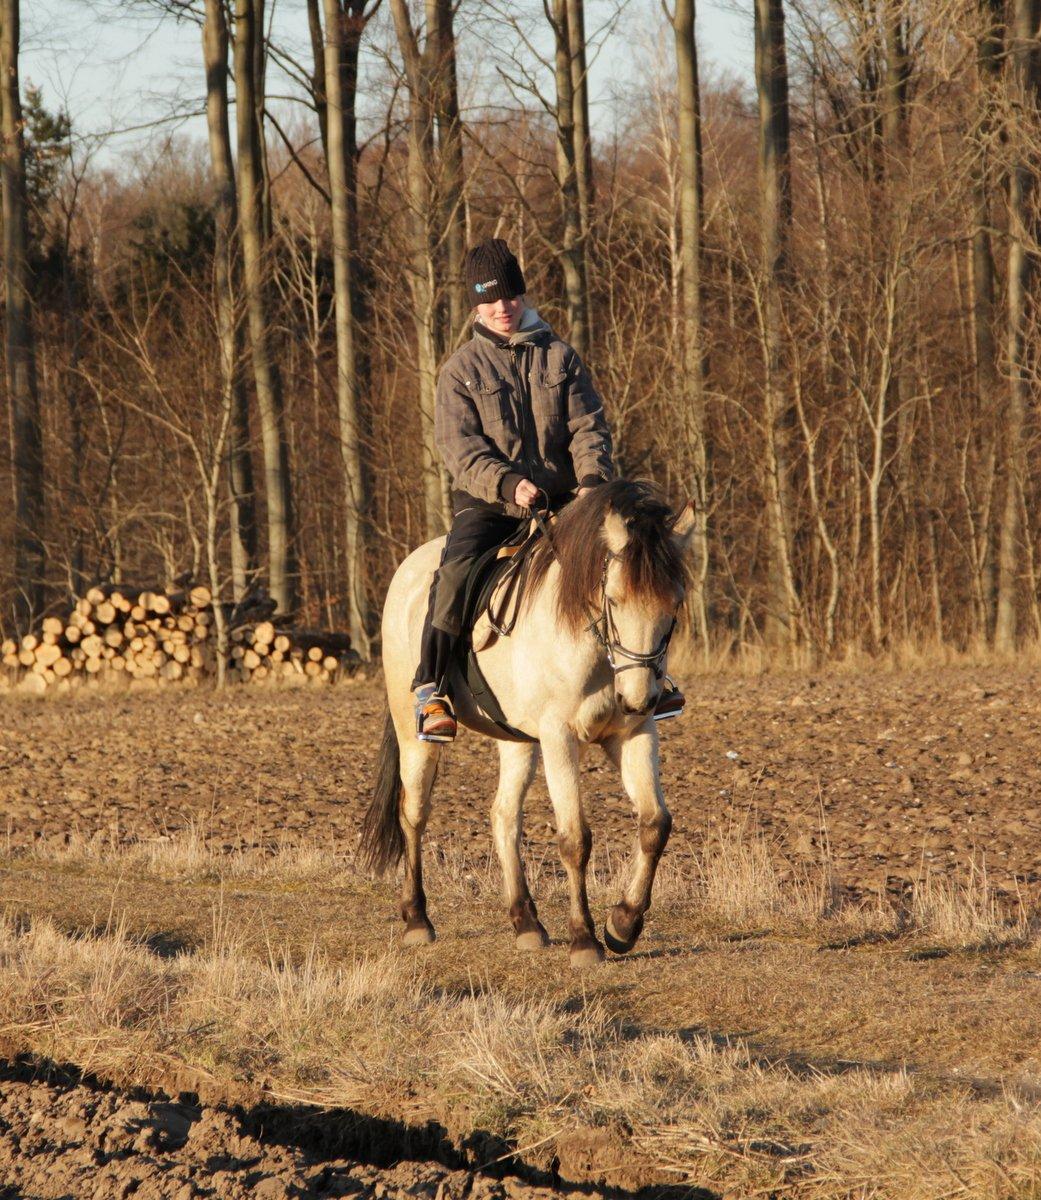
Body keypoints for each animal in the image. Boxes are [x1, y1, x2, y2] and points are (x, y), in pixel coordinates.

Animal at [357, 475, 690, 964]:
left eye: (674, 603)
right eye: (613, 598)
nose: (638, 697)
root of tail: (407, 571)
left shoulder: (634, 733)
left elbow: (655, 823)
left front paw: (623, 925)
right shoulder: (559, 737)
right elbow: (575, 838)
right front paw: (584, 940)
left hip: (515, 740)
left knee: (503, 817)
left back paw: (526, 922)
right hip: (413, 734)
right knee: (413, 813)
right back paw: (417, 919)